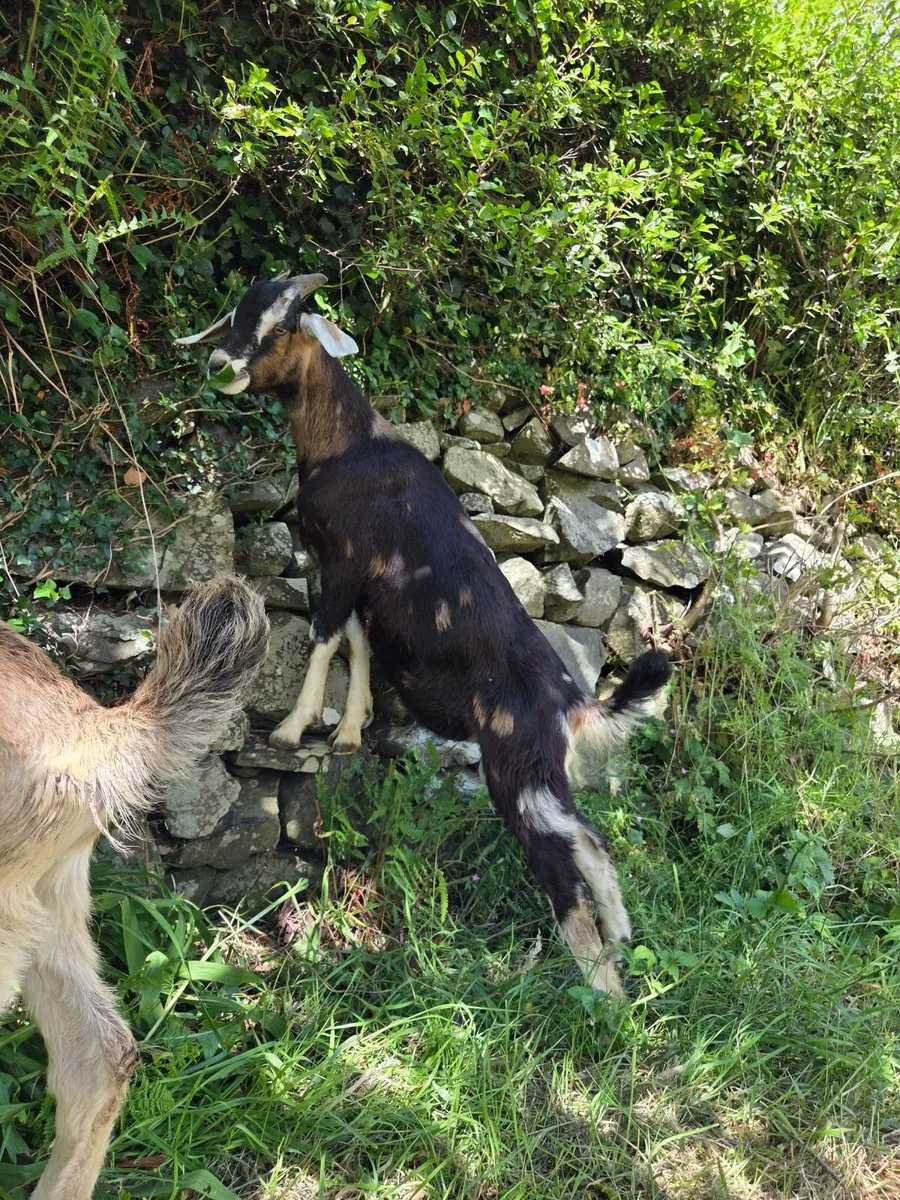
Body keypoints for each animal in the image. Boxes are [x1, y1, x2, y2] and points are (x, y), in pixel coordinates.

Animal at [178, 274, 671, 996]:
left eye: (282, 325)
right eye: (237, 314)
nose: (220, 367)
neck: (348, 445)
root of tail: (574, 703)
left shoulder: (345, 559)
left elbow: (325, 634)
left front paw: (294, 728)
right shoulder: (351, 575)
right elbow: (355, 641)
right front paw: (349, 731)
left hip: (515, 767)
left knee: (563, 871)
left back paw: (602, 997)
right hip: (542, 772)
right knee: (590, 838)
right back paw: (626, 942)